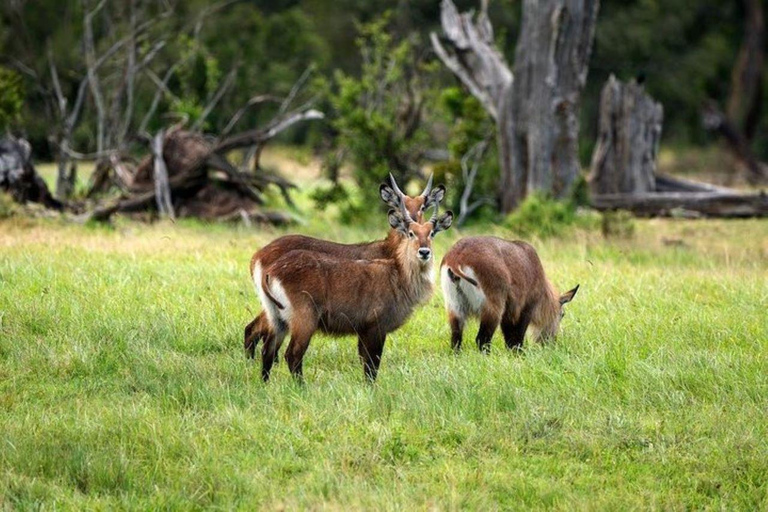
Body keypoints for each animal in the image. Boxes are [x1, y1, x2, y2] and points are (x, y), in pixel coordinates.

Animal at [243, 176, 448, 360]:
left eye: (423, 207)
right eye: (399, 203)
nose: (411, 220)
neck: (390, 251)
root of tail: (258, 254)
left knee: (255, 331)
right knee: (255, 331)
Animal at [438, 237, 576, 352]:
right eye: (562, 314)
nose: (551, 342)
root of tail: (457, 257)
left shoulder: (509, 311)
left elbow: (509, 337)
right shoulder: (527, 307)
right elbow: (518, 336)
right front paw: (519, 354)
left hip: (454, 307)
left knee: (456, 338)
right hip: (493, 307)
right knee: (482, 339)